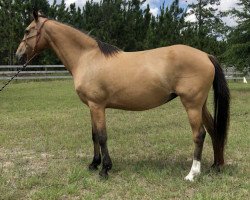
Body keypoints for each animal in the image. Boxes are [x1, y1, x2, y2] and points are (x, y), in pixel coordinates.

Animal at [16, 11, 230, 181]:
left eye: (27, 31)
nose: (18, 55)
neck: (88, 58)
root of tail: (206, 55)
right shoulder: (92, 107)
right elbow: (94, 135)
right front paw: (94, 164)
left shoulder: (97, 105)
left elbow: (102, 136)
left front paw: (105, 169)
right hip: (201, 105)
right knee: (213, 130)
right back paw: (216, 166)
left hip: (192, 105)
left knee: (199, 134)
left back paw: (192, 174)